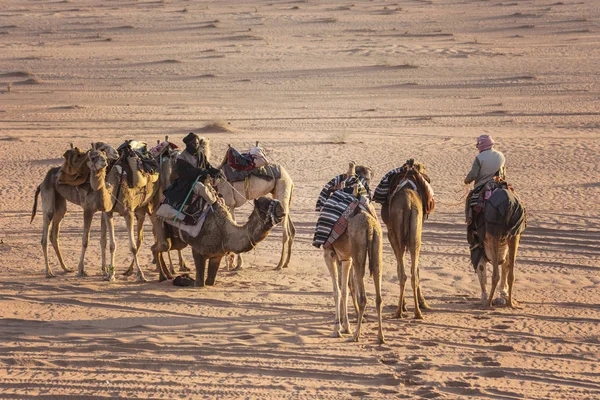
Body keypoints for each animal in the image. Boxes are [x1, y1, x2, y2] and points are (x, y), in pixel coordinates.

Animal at [86, 144, 162, 282]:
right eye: (92, 157)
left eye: (104, 156)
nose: (104, 162)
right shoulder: (108, 213)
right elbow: (112, 245)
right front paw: (111, 275)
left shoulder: (128, 212)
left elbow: (132, 247)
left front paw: (141, 275)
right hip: (141, 208)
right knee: (144, 235)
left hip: (155, 202)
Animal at [155, 196, 286, 286]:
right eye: (264, 205)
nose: (283, 210)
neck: (225, 233)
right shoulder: (198, 251)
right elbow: (200, 283)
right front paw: (184, 279)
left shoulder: (217, 256)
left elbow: (210, 281)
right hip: (159, 222)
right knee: (159, 247)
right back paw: (163, 276)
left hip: (178, 239)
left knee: (161, 247)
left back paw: (167, 275)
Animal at [382, 161, 434, 320]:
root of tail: (408, 204)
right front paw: (422, 303)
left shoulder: (391, 236)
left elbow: (399, 268)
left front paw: (405, 304)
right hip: (415, 236)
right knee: (413, 274)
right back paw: (417, 312)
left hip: (399, 238)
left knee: (404, 274)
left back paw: (399, 310)